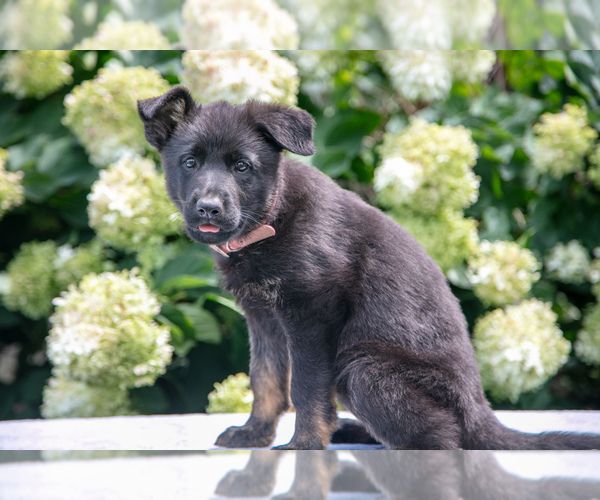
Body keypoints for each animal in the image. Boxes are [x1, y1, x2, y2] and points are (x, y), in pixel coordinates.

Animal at [139, 86, 600, 450]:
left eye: (241, 166)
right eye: (190, 163)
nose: (208, 209)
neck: (271, 218)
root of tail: (479, 412)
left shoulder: (311, 314)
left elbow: (305, 388)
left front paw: (304, 445)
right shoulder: (263, 318)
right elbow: (266, 381)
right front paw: (255, 434)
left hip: (363, 370)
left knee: (443, 437)